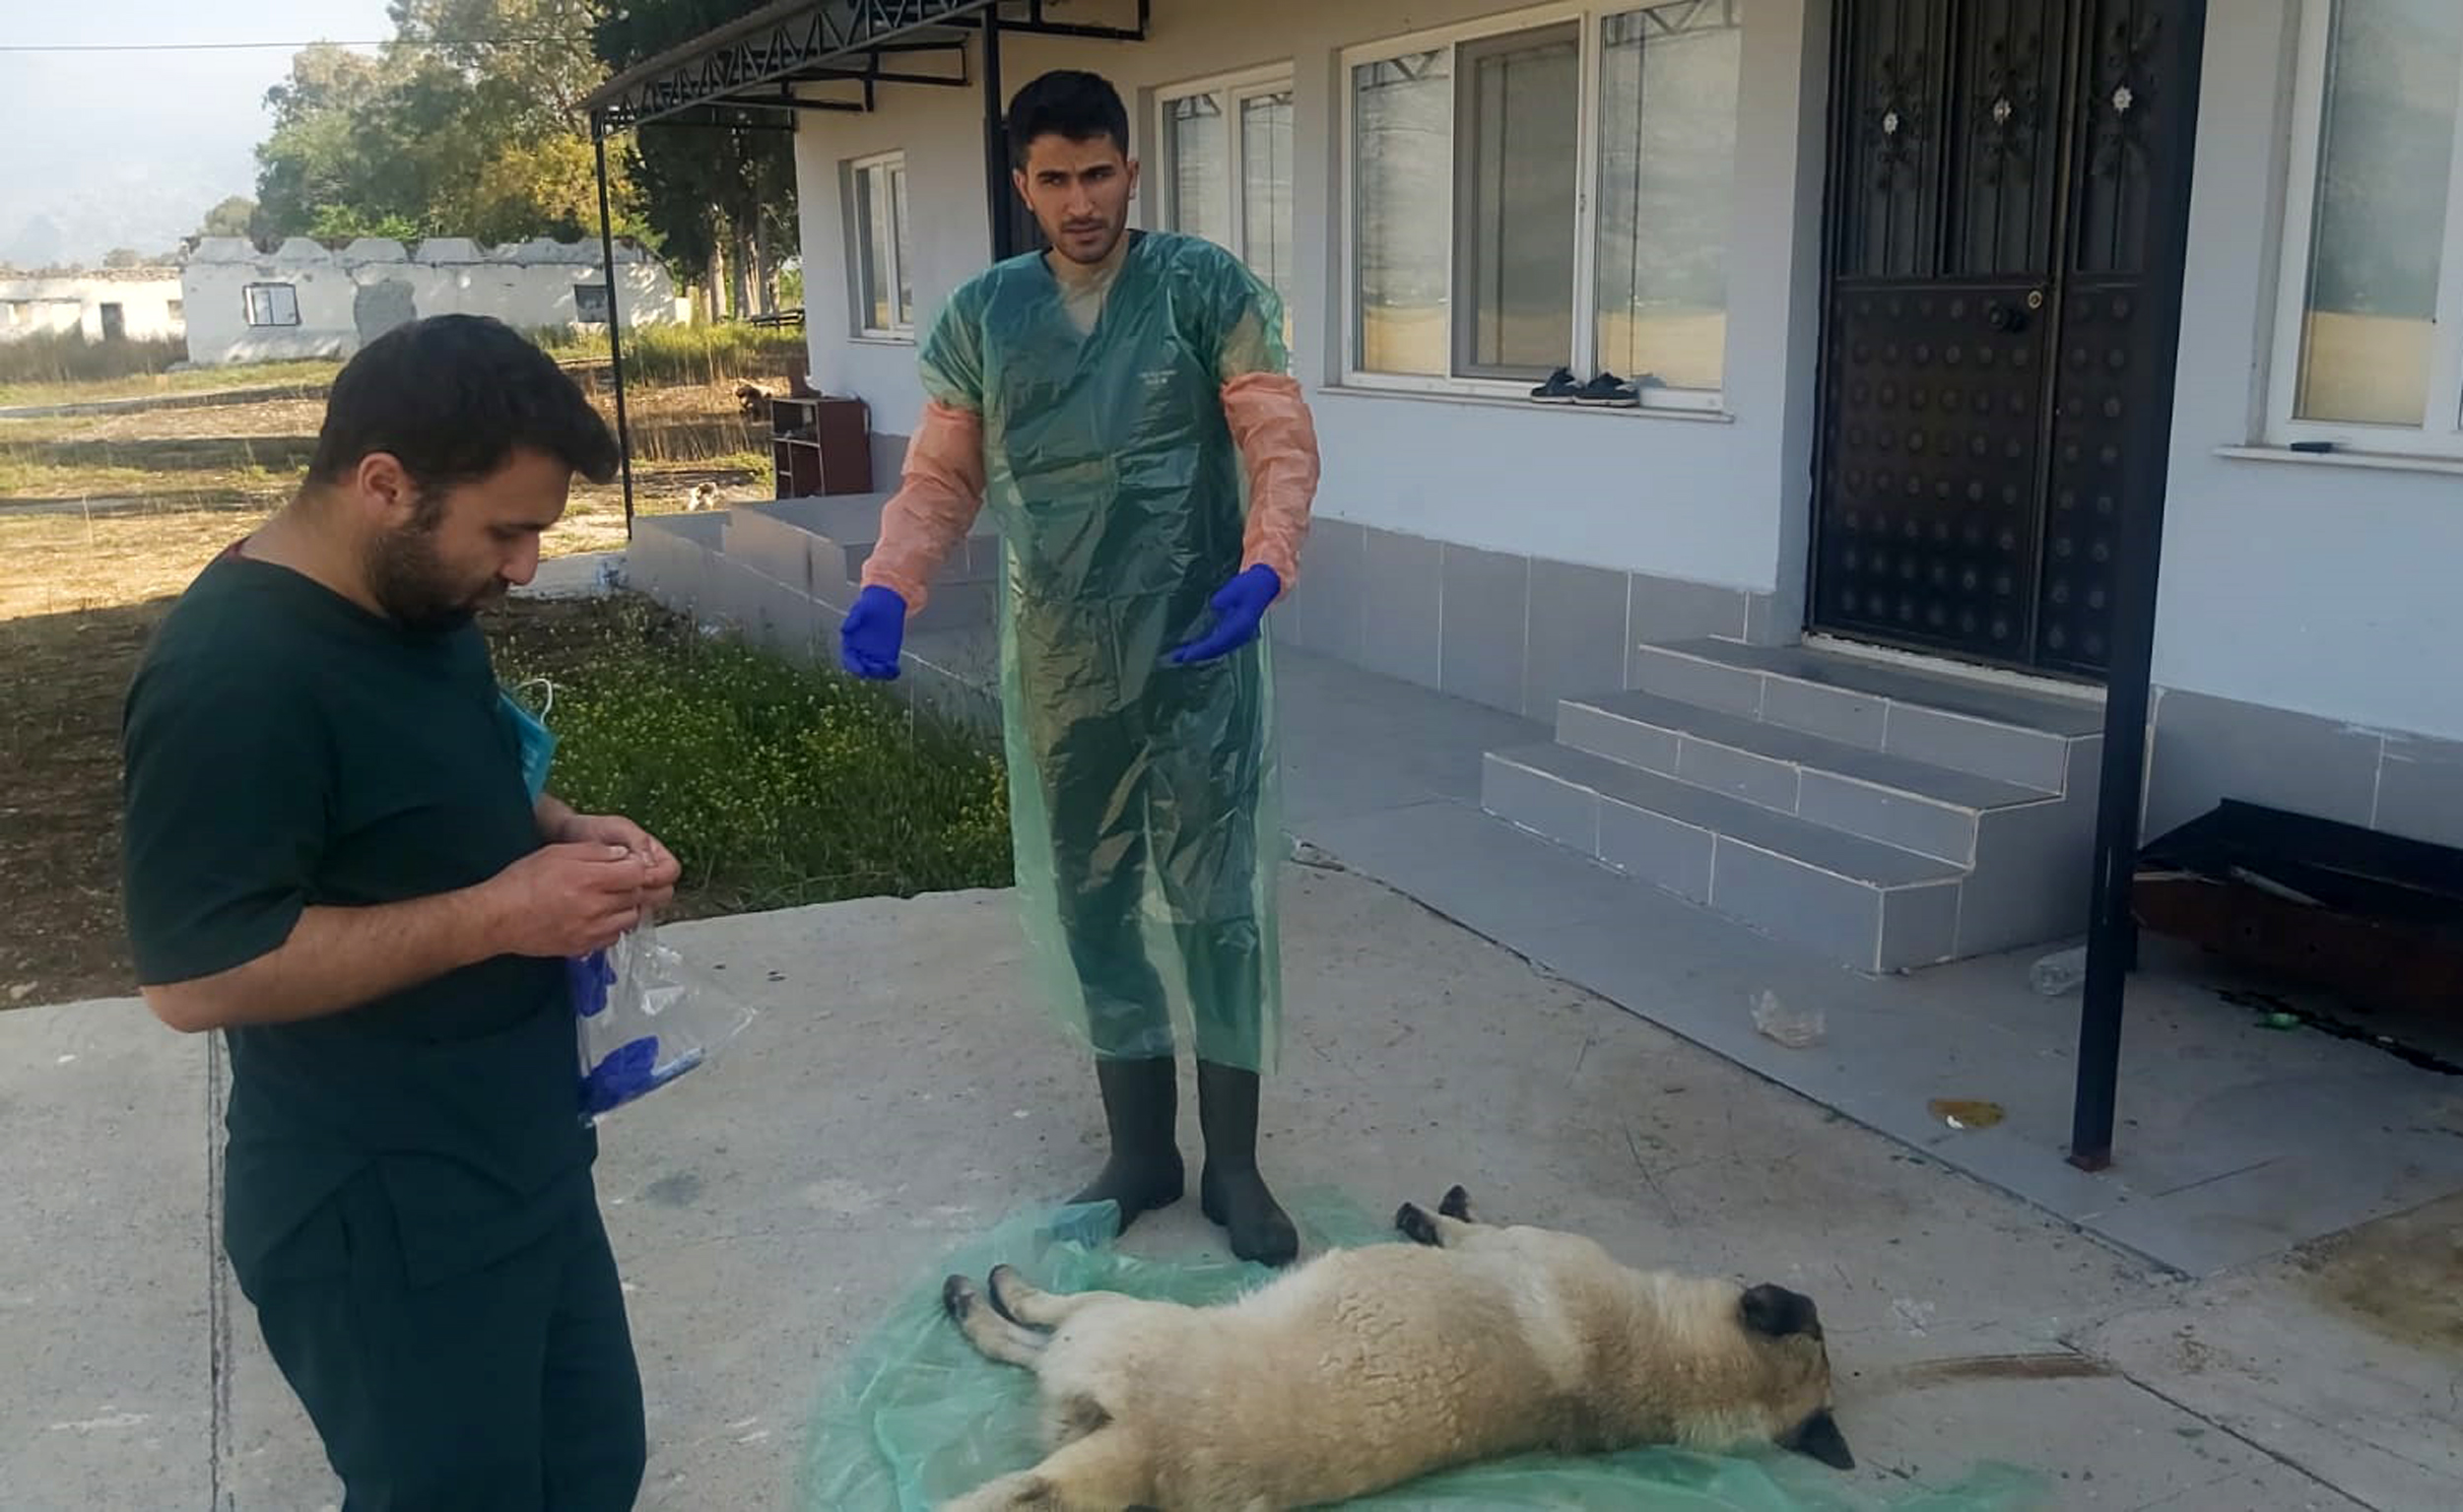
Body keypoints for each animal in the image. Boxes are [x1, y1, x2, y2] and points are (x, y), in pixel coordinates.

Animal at [936, 1192, 1852, 1507]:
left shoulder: (1520, 1244)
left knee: (1036, 1327)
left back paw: (987, 1293)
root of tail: (1148, 1450)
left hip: (1120, 1316)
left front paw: (1431, 1214)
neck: (1671, 1368)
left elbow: (1465, 1228)